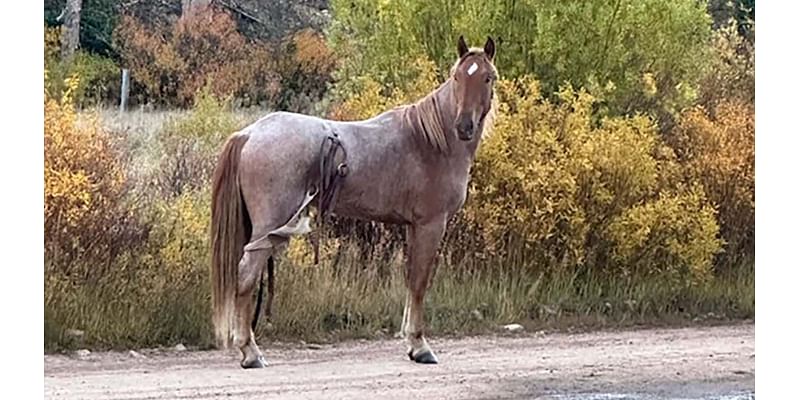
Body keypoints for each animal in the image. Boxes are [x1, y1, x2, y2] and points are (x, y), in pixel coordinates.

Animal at [211, 36, 500, 368]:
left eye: (487, 77)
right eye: (457, 77)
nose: (464, 126)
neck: (430, 142)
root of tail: (249, 133)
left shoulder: (413, 227)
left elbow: (410, 279)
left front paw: (410, 342)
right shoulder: (431, 225)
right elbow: (420, 282)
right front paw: (420, 345)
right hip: (268, 228)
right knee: (246, 275)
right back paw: (250, 352)